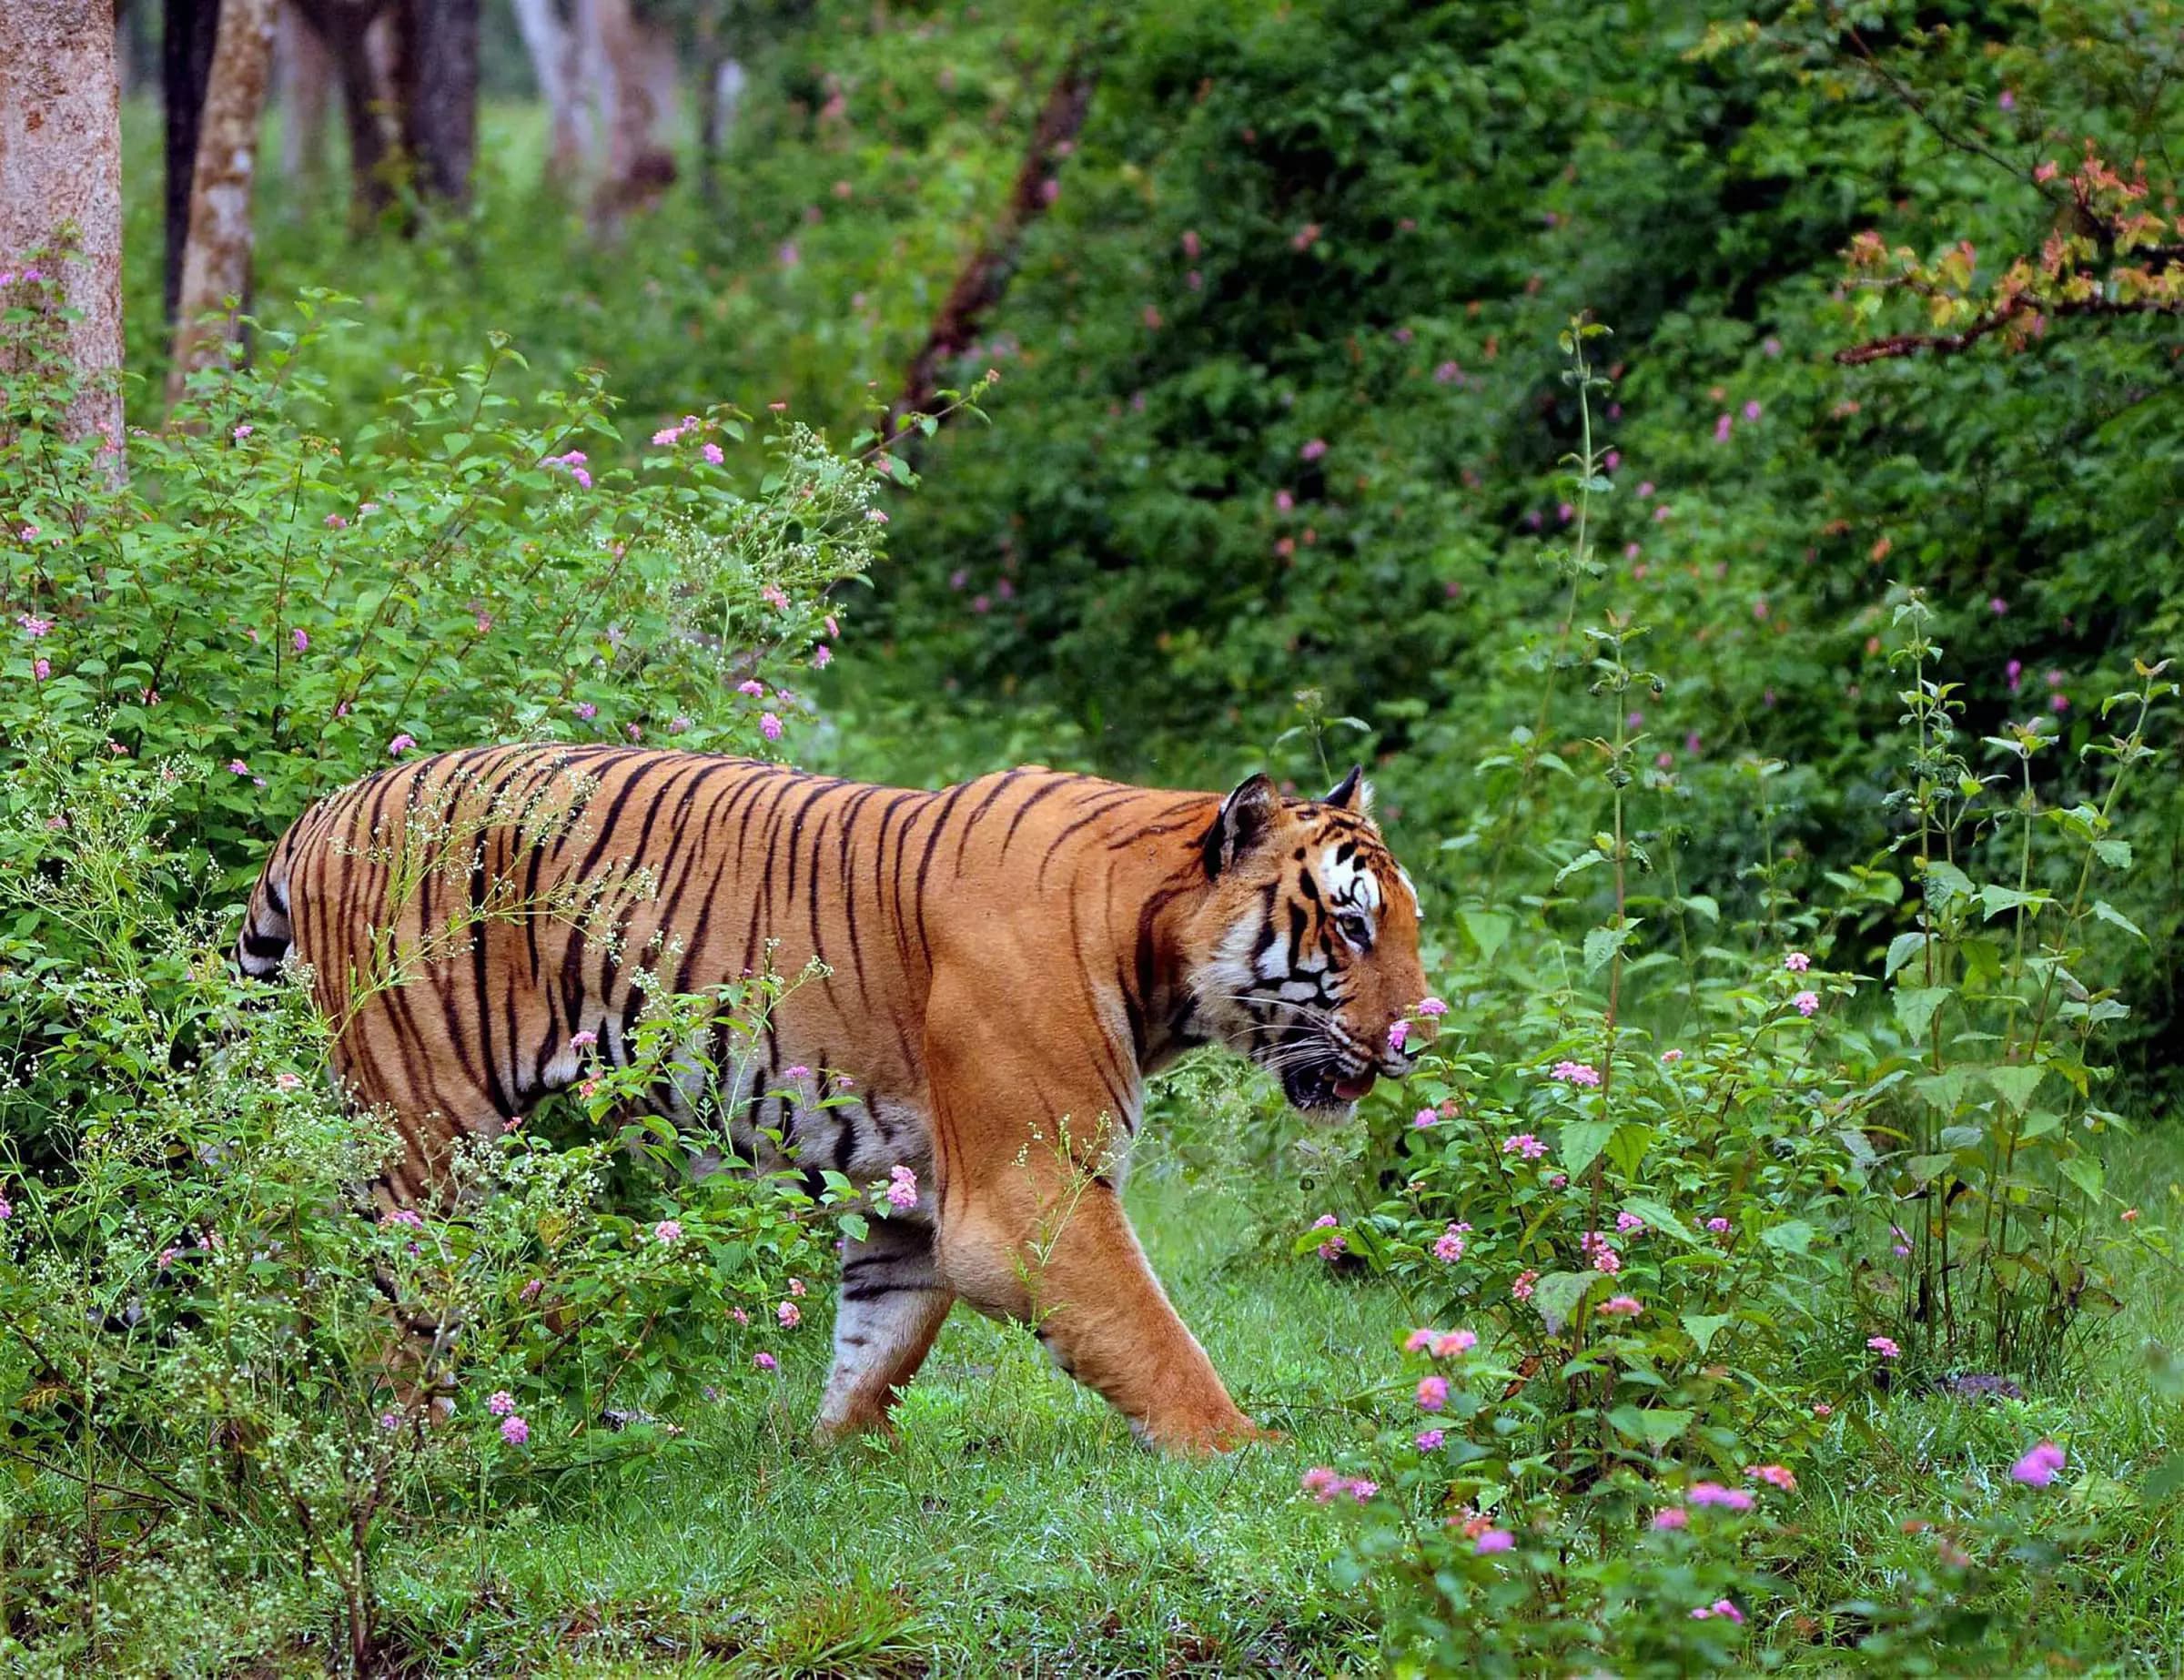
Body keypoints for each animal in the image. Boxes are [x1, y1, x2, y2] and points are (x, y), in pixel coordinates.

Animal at [237, 744, 1432, 1452]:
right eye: (1351, 924)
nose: (1425, 1031)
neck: (1149, 955)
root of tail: (323, 809)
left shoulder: (912, 1193)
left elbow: (880, 1341)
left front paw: (839, 1463)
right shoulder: (1033, 1194)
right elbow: (1155, 1341)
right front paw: (1257, 1459)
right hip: (426, 1141)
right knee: (392, 1313)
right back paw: (423, 1460)